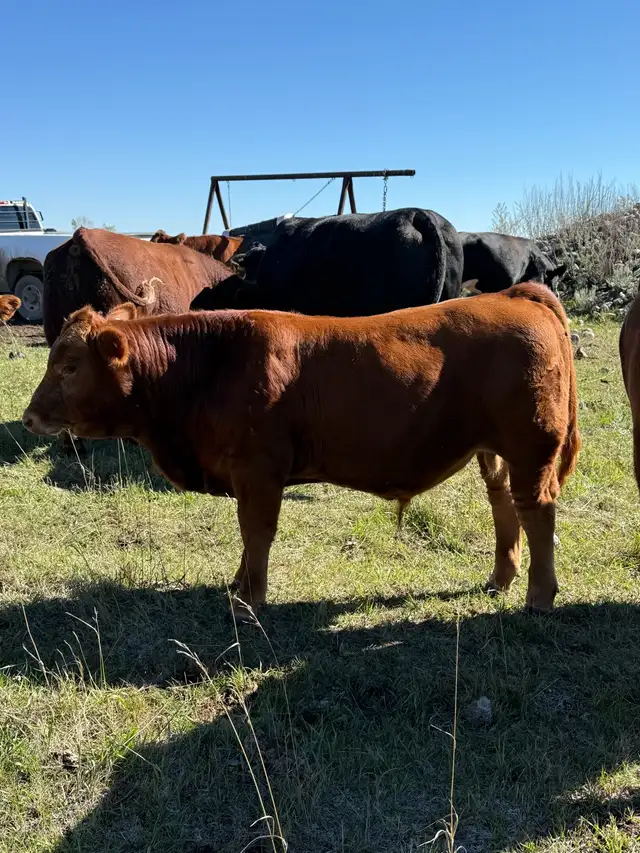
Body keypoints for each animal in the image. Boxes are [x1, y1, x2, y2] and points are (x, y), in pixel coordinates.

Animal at [24, 283, 579, 621]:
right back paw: (500, 580)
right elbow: (247, 536)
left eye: (69, 366)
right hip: (495, 451)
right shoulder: (245, 476)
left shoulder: (259, 471)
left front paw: (250, 600)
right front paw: (237, 586)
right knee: (504, 505)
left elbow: (257, 532)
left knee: (536, 511)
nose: (29, 416)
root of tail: (513, 294)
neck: (209, 365)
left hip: (531, 448)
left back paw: (539, 596)